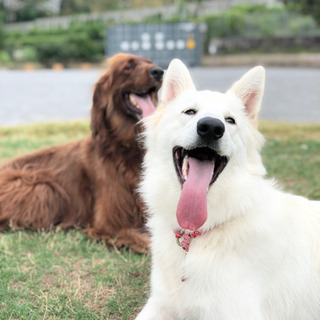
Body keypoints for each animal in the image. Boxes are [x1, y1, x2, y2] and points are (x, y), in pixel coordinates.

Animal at [0, 53, 162, 252]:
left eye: (150, 62)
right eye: (129, 66)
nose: (159, 71)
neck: (129, 147)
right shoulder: (112, 224)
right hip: (43, 189)